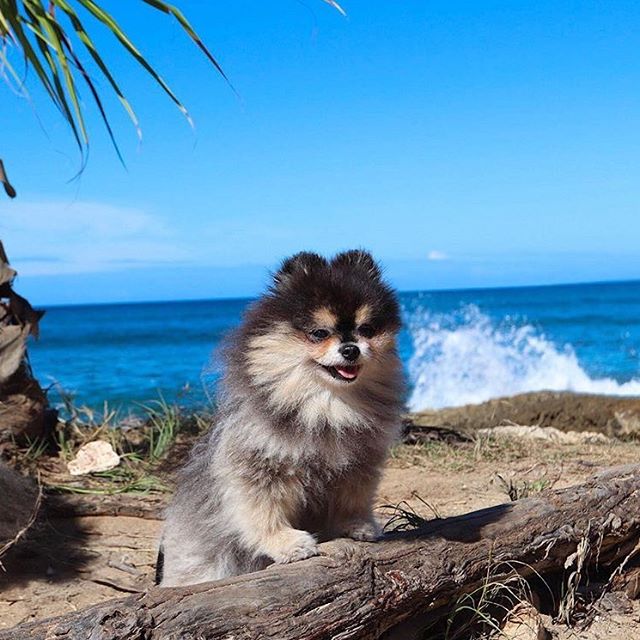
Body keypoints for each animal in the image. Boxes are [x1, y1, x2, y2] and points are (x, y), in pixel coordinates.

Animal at [157, 249, 402, 584]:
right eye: (319, 334)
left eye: (367, 330)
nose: (351, 349)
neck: (327, 406)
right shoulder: (260, 465)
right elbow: (263, 510)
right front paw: (287, 543)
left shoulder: (357, 465)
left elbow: (353, 499)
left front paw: (357, 526)